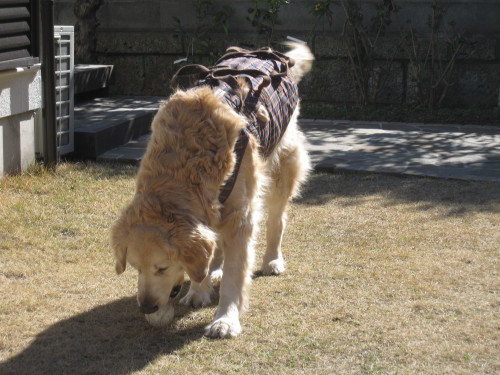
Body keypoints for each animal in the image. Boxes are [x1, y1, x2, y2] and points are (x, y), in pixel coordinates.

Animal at [111, 42, 312, 340]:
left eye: (162, 267)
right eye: (135, 267)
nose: (147, 307)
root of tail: (272, 56)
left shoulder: (241, 216)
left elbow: (234, 276)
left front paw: (226, 320)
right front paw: (198, 290)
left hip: (282, 165)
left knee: (277, 219)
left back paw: (273, 260)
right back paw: (214, 268)